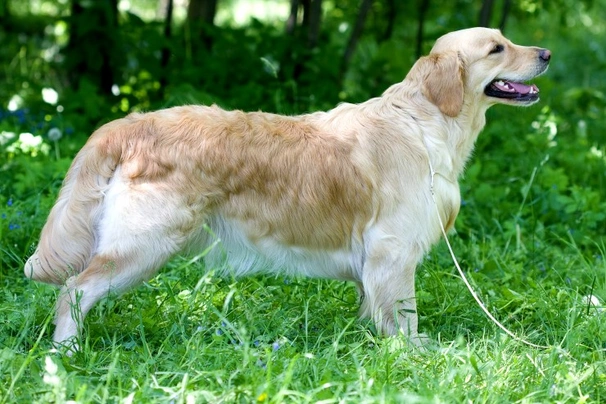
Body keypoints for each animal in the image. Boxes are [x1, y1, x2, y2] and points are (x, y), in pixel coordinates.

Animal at [26, 27, 552, 348]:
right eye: (497, 49)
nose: (546, 54)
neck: (424, 121)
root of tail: (128, 124)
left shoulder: (377, 261)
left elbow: (372, 307)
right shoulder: (393, 250)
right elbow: (404, 314)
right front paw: (415, 351)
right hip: (143, 246)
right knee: (74, 289)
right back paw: (66, 351)